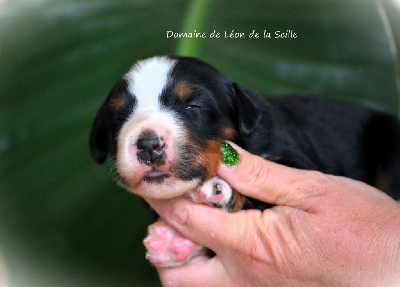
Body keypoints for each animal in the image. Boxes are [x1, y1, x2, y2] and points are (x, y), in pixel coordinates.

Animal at [90, 54, 400, 268]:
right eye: (118, 117)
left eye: (192, 106)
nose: (148, 145)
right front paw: (174, 243)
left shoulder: (301, 165)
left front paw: (219, 191)